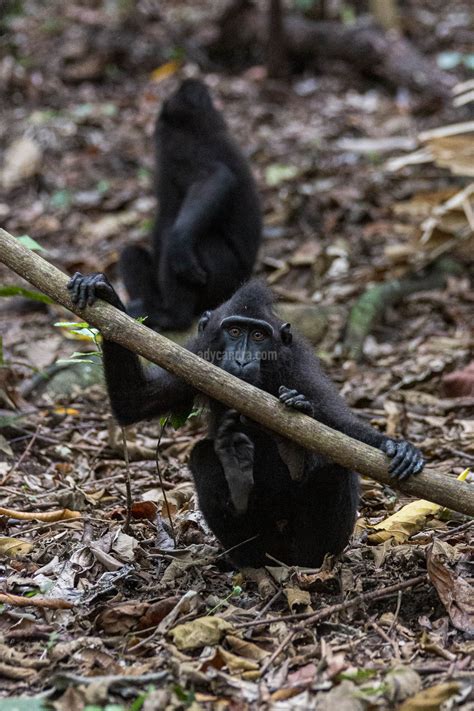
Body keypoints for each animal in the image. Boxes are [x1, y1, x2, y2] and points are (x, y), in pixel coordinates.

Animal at [67, 272, 426, 568]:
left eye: (258, 336)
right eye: (235, 331)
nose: (241, 359)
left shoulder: (298, 367)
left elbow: (340, 425)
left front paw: (396, 447)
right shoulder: (194, 358)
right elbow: (136, 401)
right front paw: (106, 294)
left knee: (334, 466)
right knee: (203, 455)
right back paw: (238, 481)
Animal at [119, 79, 262, 332]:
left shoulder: (181, 147)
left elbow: (217, 176)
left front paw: (180, 240)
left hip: (224, 282)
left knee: (189, 244)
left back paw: (172, 317)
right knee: (130, 253)